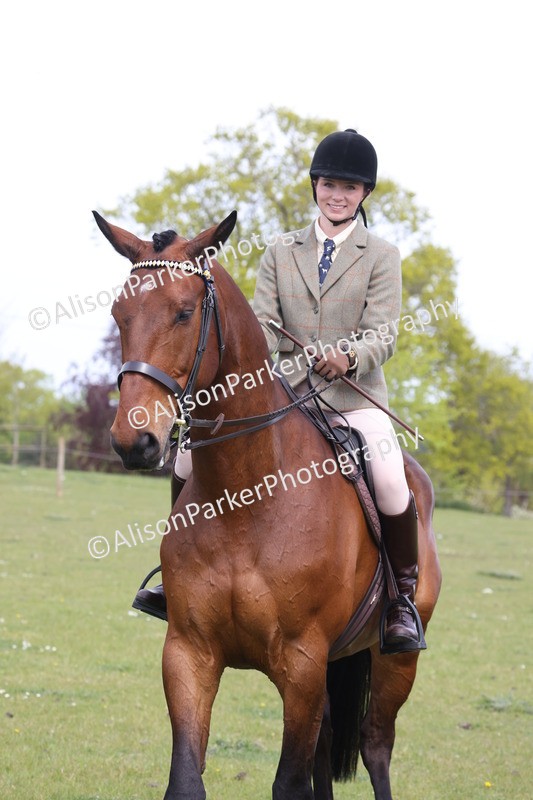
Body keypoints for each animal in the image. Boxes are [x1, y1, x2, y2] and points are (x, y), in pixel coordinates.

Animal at [93, 209, 442, 800]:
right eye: (120, 314)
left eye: (184, 312)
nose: (132, 441)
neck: (247, 497)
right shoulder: (188, 654)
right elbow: (187, 778)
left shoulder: (301, 663)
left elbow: (290, 782)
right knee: (328, 744)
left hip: (392, 664)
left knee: (375, 746)